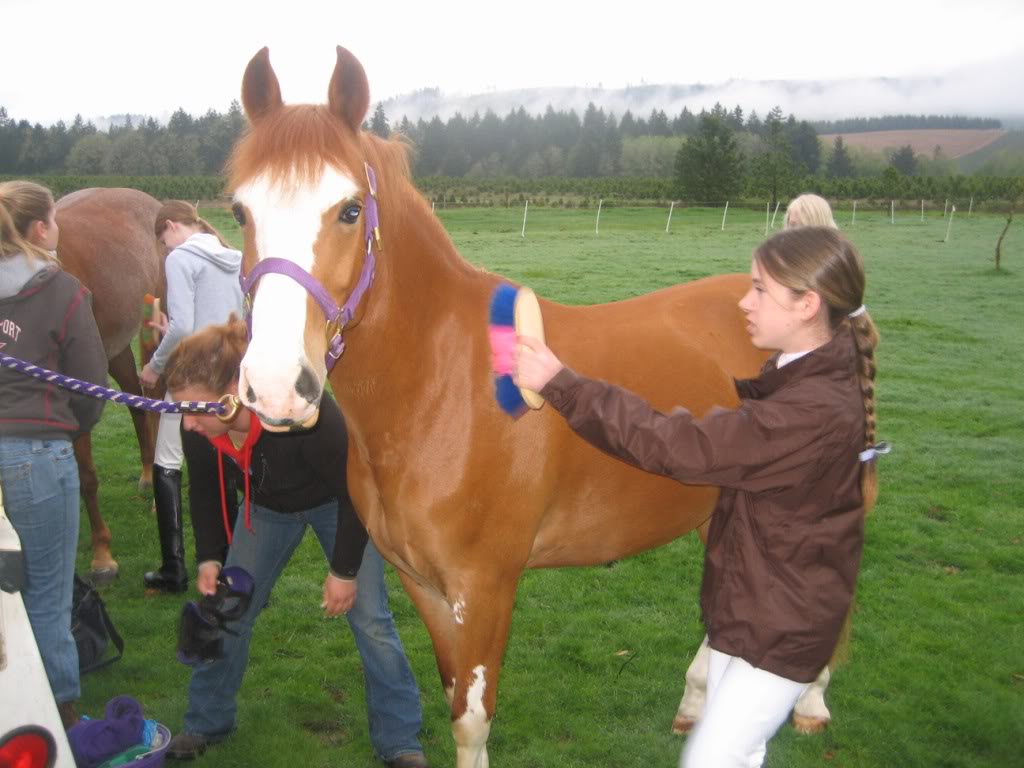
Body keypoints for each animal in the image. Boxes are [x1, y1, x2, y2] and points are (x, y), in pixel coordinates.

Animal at [228, 49, 770, 768]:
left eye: (349, 210)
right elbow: (450, 690)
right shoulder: (424, 586)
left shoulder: (485, 587)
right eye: (240, 211)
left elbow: (471, 717)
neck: (442, 392)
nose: (276, 384)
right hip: (719, 511)